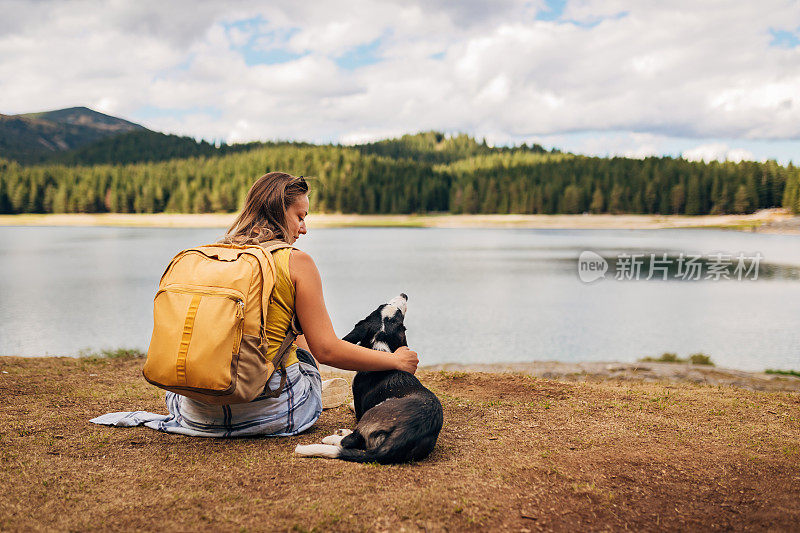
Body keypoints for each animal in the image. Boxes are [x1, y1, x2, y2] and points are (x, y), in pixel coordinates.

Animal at [294, 294, 444, 464]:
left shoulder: (359, 407)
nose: (404, 295)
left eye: (399, 312)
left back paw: (337, 436)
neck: (381, 348)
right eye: (383, 305)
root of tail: (404, 435)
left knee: (349, 441)